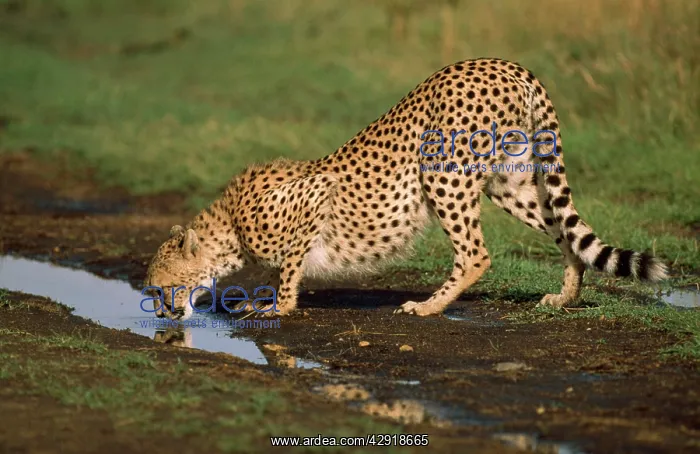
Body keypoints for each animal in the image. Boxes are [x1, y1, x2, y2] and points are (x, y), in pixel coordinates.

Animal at [143, 57, 669, 321]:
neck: (229, 225)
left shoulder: (313, 197)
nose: (163, 312)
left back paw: (429, 306)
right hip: (509, 182)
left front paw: (279, 306)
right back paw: (566, 297)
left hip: (442, 172)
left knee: (476, 254)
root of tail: (505, 64)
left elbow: (289, 268)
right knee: (564, 231)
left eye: (162, 286)